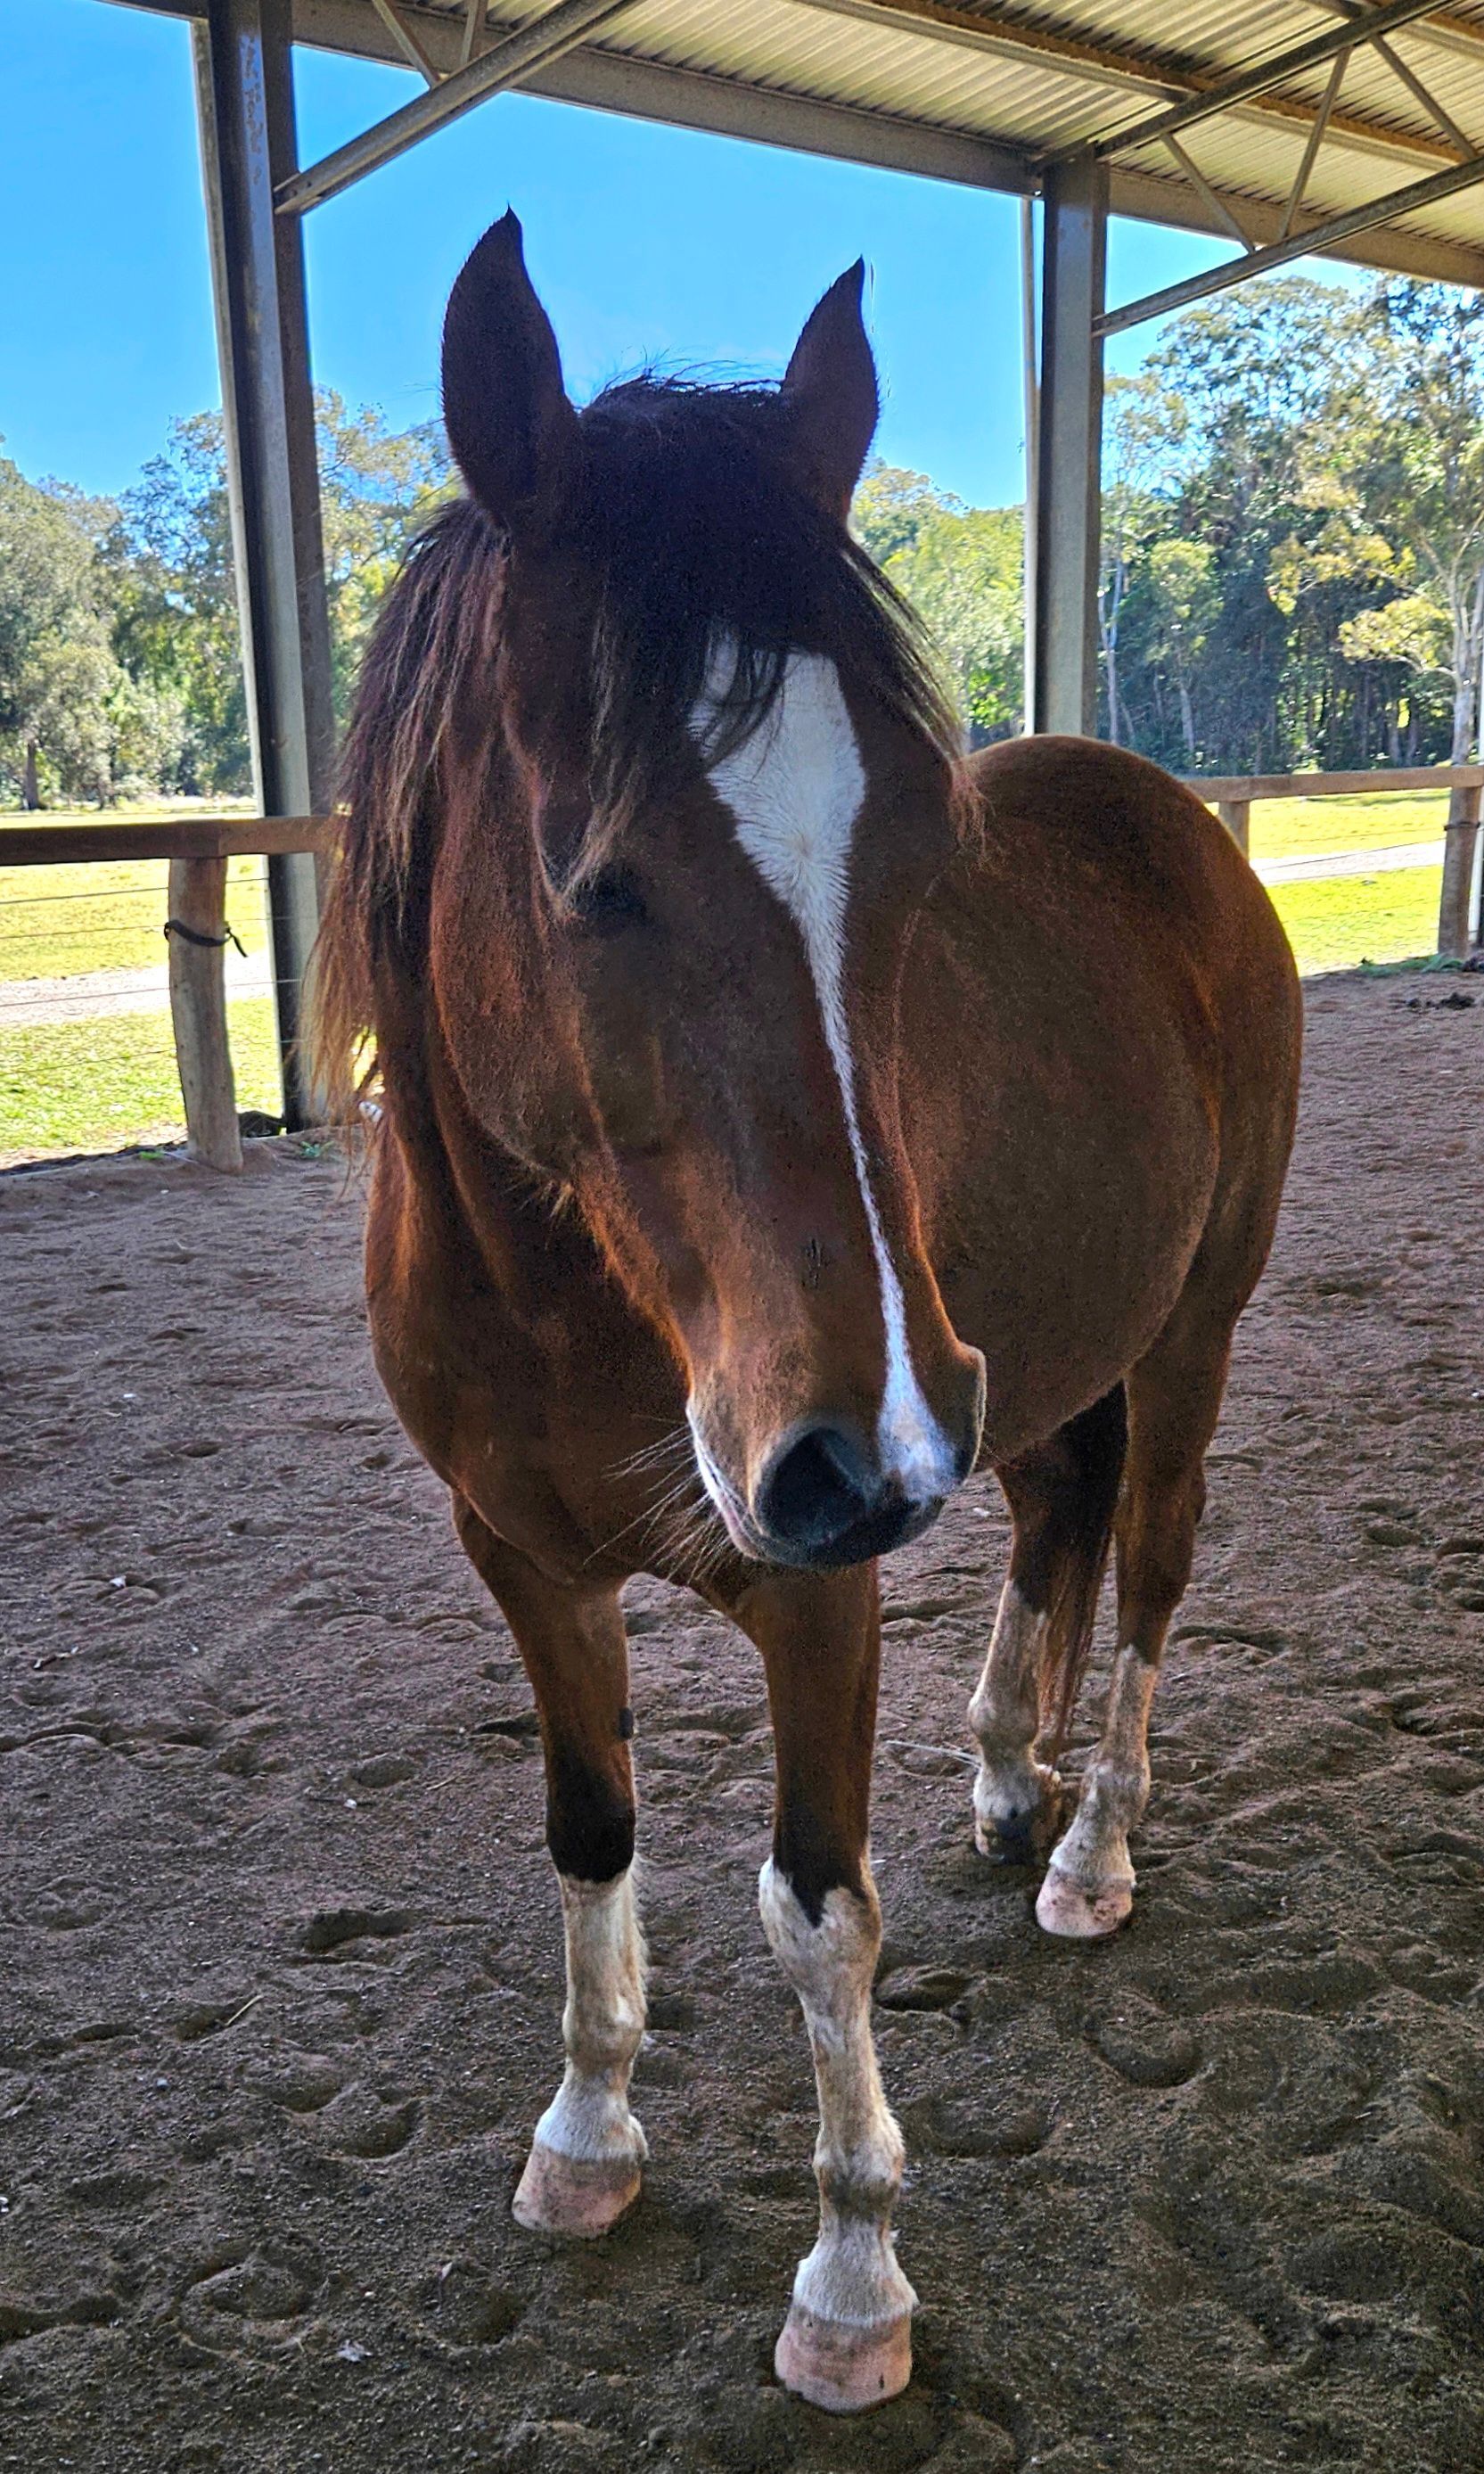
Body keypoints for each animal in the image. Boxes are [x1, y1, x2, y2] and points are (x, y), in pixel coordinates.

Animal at [311, 211, 1301, 2415]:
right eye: (596, 881)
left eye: (923, 863)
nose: (883, 1444)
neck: (570, 1300)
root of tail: (1177, 827)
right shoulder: (522, 1557)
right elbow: (589, 1836)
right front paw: (587, 2136)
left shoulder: (817, 1576)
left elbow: (815, 1912)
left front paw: (853, 2277)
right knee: (1054, 1519)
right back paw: (1009, 1774)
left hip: (1178, 1332)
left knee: (1155, 1559)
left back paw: (1092, 1847)